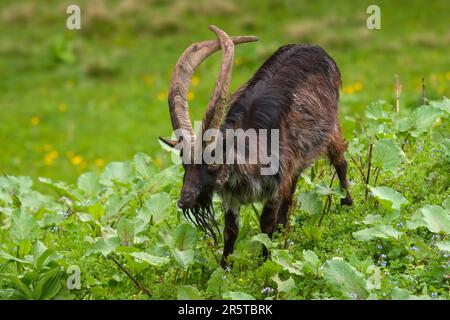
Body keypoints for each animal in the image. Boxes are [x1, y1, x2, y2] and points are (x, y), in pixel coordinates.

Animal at [160, 25, 354, 268]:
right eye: (184, 164)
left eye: (213, 163)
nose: (184, 200)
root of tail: (313, 47)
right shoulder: (232, 199)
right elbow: (230, 231)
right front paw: (224, 269)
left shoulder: (274, 188)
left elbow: (266, 224)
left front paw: (265, 264)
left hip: (331, 127)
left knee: (340, 161)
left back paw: (348, 203)